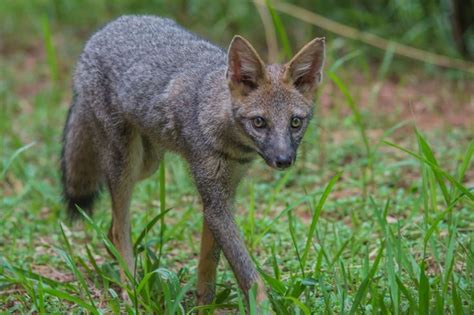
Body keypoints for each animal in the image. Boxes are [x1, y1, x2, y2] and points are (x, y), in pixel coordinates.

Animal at [61, 15, 324, 308]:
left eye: (295, 123)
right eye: (259, 122)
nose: (284, 160)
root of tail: (110, 26)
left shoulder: (220, 198)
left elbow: (208, 264)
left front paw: (204, 306)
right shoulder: (215, 201)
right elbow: (249, 274)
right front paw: (262, 307)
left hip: (147, 164)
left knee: (113, 227)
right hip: (125, 164)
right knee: (119, 229)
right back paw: (130, 291)